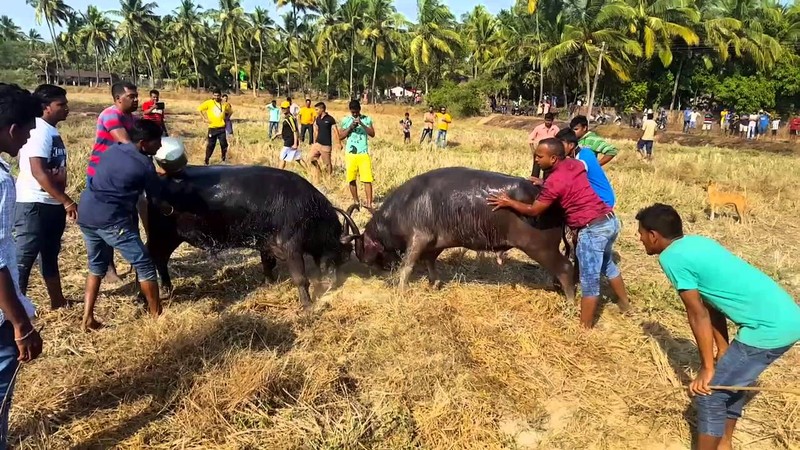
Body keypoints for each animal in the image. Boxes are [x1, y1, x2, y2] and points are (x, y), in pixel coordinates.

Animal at [148, 165, 360, 306]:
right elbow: (300, 278)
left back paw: (167, 288)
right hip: (161, 236)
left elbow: (267, 265)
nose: (334, 282)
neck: (306, 208)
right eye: (343, 253)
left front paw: (269, 283)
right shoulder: (291, 247)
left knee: (160, 260)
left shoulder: (265, 245)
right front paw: (307, 305)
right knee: (155, 259)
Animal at [350, 165, 576, 298]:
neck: (406, 205)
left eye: (362, 244)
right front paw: (433, 284)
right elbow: (430, 264)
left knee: (566, 268)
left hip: (540, 247)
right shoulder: (434, 245)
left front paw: (400, 289)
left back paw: (570, 301)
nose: (362, 260)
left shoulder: (418, 239)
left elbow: (408, 266)